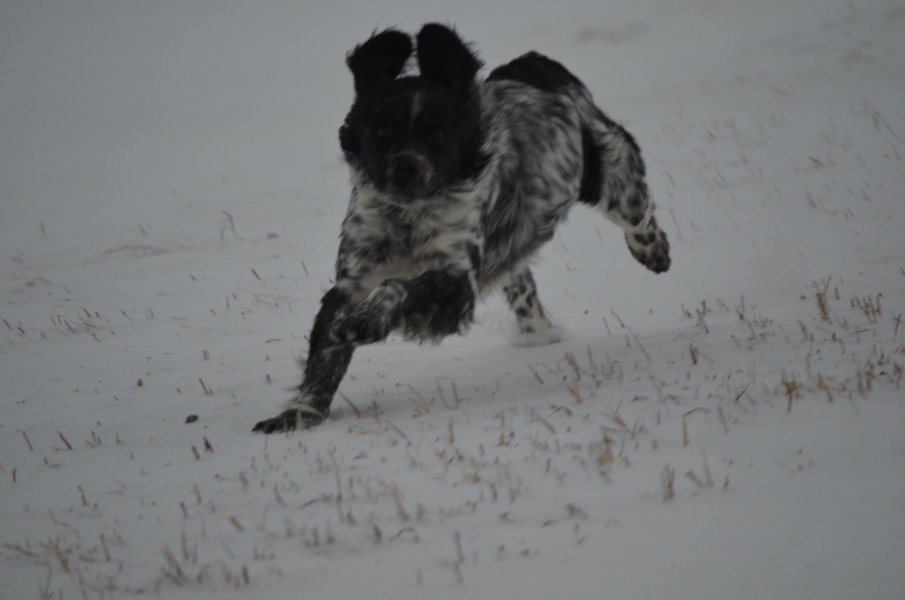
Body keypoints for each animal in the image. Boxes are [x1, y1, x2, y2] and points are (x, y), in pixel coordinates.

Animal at [251, 24, 668, 436]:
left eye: (437, 134)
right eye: (382, 131)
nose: (406, 167)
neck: (408, 219)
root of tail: (534, 63)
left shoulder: (456, 282)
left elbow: (396, 289)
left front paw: (366, 321)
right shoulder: (353, 279)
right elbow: (327, 351)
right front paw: (300, 414)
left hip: (611, 171)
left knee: (637, 209)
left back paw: (653, 250)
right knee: (520, 281)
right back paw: (536, 332)